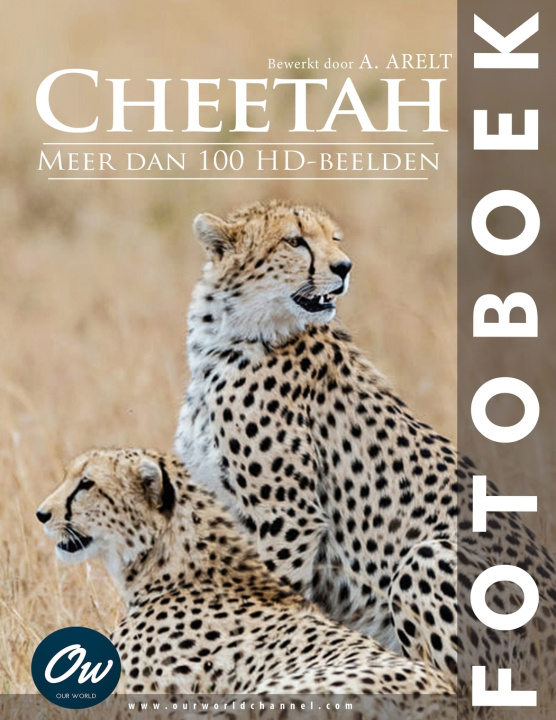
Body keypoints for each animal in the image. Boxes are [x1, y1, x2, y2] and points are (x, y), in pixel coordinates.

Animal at [175, 199, 556, 695]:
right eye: (295, 240)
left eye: (334, 239)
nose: (345, 267)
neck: (229, 334)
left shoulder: (286, 518)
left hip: (428, 558)